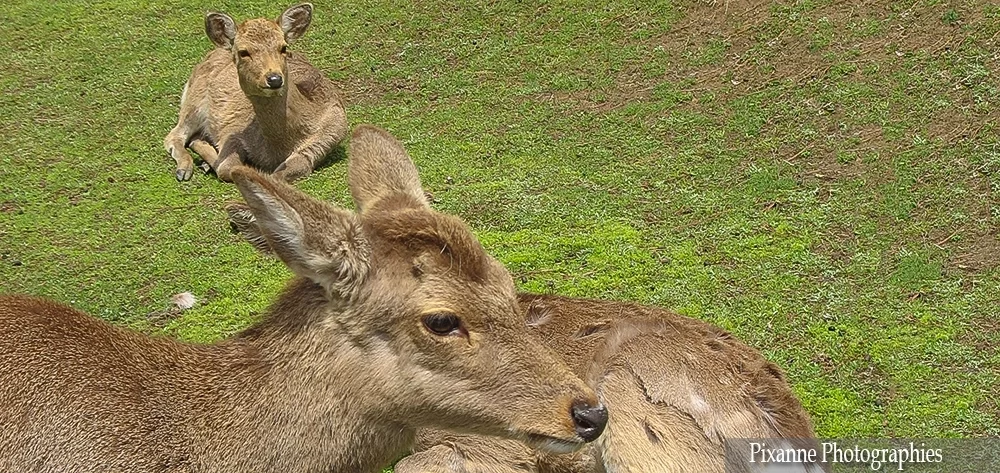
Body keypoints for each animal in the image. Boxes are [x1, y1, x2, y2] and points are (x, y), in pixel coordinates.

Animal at [163, 3, 348, 183]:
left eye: (283, 47)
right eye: (243, 52)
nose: (274, 79)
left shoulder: (327, 138)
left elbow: (281, 173)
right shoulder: (232, 130)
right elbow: (227, 168)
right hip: (194, 100)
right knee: (174, 135)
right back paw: (185, 170)